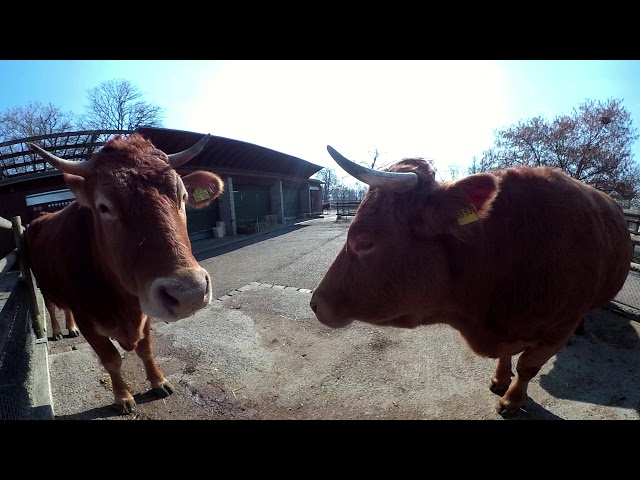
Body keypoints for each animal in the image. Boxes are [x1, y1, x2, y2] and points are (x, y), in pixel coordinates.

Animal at [25, 133, 224, 414]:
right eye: (103, 207)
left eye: (183, 196)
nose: (190, 293)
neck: (122, 302)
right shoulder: (88, 319)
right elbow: (111, 360)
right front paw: (122, 397)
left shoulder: (144, 307)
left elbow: (146, 349)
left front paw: (158, 381)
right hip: (43, 282)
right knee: (53, 307)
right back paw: (58, 330)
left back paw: (70, 328)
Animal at [308, 145, 632, 416]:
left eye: (364, 241)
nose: (315, 303)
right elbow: (508, 357)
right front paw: (500, 379)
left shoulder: (555, 332)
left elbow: (527, 367)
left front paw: (512, 401)